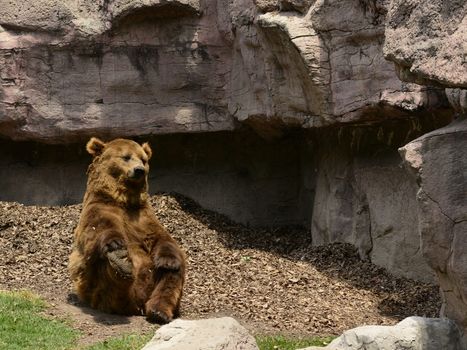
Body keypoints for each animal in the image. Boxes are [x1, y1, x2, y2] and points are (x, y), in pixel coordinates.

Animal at [68, 137, 186, 322]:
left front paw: (168, 261)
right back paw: (121, 262)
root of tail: (137, 306)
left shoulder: (143, 218)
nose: (139, 170)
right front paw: (116, 245)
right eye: (126, 157)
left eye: (143, 159)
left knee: (172, 277)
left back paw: (159, 311)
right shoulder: (99, 209)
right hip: (97, 289)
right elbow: (97, 229)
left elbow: (162, 239)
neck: (123, 200)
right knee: (110, 278)